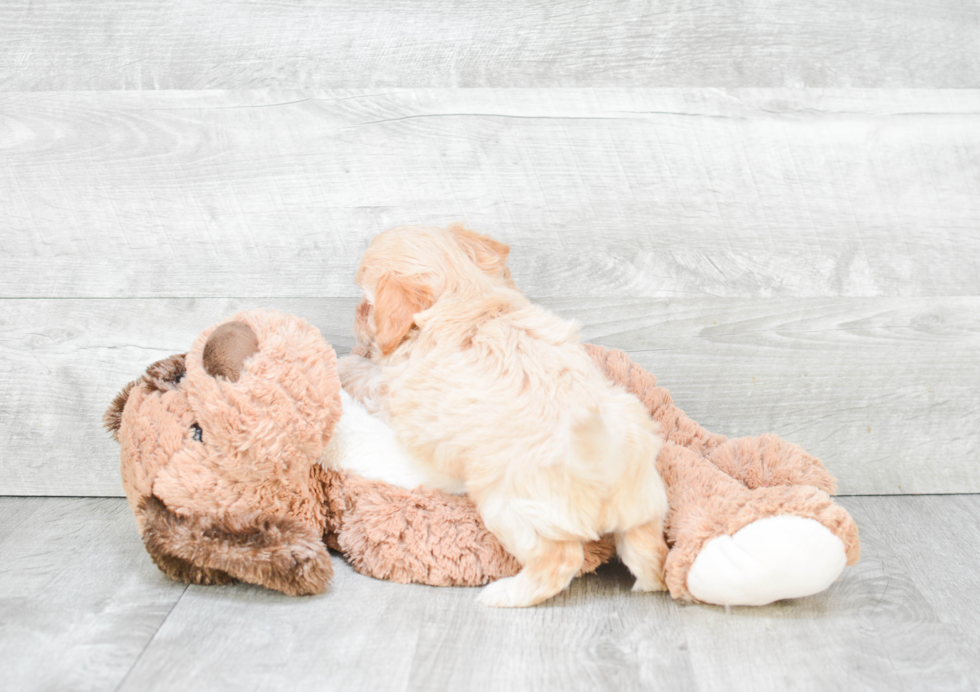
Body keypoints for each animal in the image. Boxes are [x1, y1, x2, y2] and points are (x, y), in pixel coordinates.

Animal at [340, 224, 668, 608]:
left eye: (367, 305)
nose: (355, 317)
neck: (465, 293)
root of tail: (604, 463)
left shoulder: (393, 390)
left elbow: (365, 374)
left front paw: (344, 362)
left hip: (509, 509)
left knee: (560, 560)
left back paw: (504, 594)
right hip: (645, 510)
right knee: (650, 557)